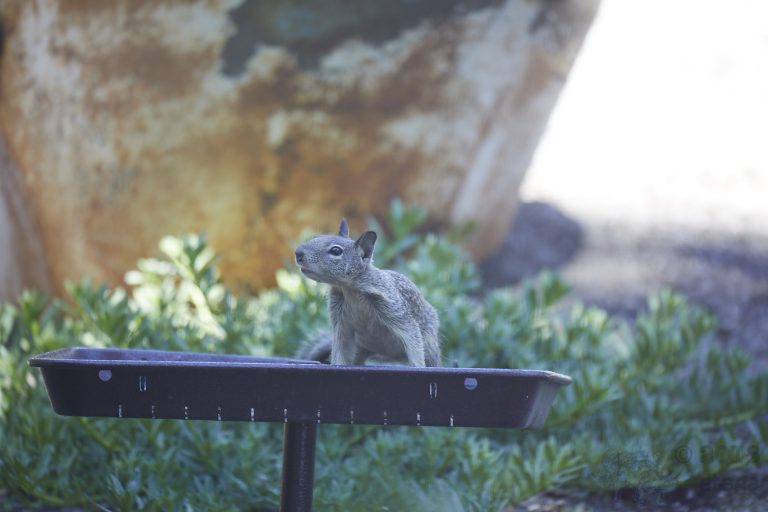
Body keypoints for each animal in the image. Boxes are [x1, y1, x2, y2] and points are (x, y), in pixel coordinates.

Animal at [294, 218, 441, 367]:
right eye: (315, 237)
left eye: (335, 250)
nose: (298, 252)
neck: (351, 291)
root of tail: (383, 353)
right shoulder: (340, 325)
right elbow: (340, 351)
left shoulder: (396, 311)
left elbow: (412, 338)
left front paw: (418, 366)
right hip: (359, 350)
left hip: (429, 346)